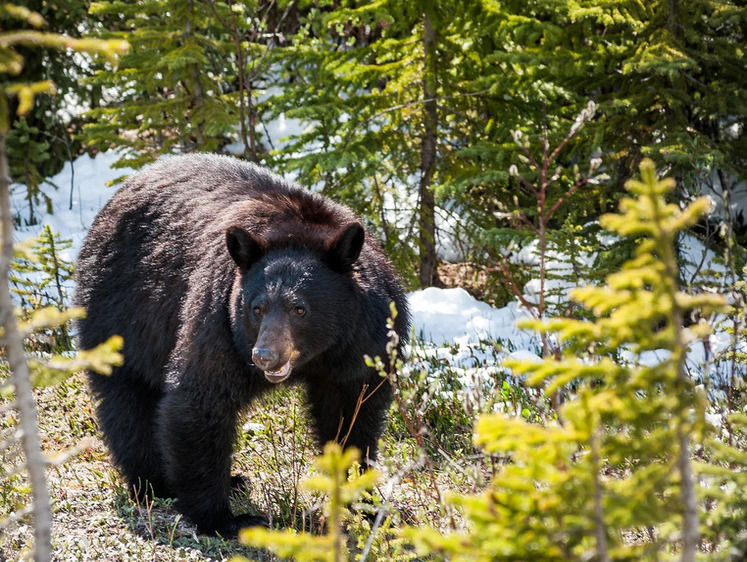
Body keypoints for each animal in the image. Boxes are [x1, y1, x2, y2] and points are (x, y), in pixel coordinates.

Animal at [74, 152, 410, 532]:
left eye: (300, 308)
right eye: (256, 307)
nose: (264, 356)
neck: (318, 356)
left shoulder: (364, 341)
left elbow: (351, 415)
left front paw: (367, 503)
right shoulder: (221, 320)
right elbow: (201, 399)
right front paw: (224, 519)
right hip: (119, 314)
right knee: (129, 402)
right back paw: (154, 484)